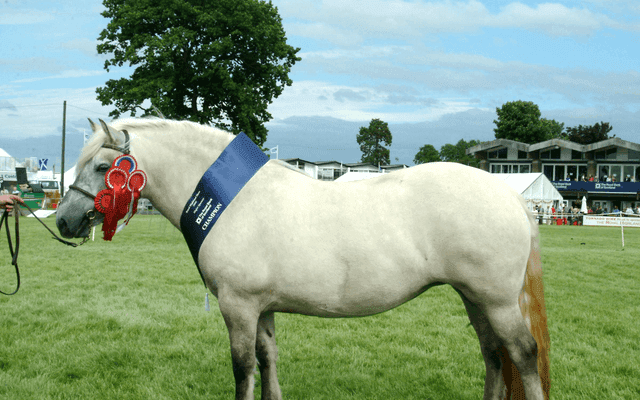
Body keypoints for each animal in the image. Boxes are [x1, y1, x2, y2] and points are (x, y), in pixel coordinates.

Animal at [56, 118, 550, 400]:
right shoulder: (262, 309)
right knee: (493, 355)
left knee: (522, 354)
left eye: (102, 167)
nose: (64, 221)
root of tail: (510, 196)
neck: (233, 200)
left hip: (497, 301)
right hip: (474, 297)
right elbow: (268, 360)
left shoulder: (238, 306)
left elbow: (243, 370)